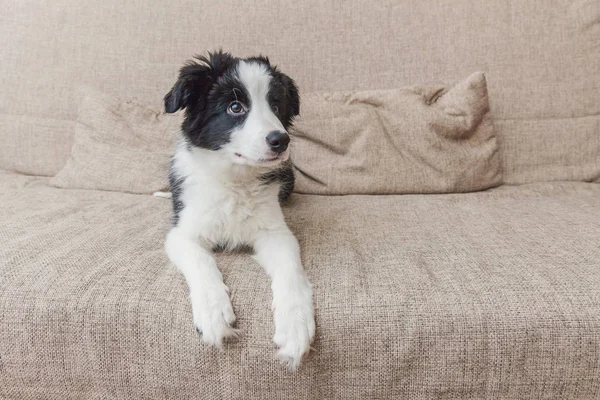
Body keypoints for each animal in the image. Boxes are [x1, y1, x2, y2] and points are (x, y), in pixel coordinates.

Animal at [162, 51, 316, 370]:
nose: (281, 141)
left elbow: (291, 270)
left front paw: (295, 326)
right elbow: (202, 262)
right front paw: (213, 314)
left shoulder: (275, 232)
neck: (235, 180)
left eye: (276, 105)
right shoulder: (182, 234)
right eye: (235, 107)